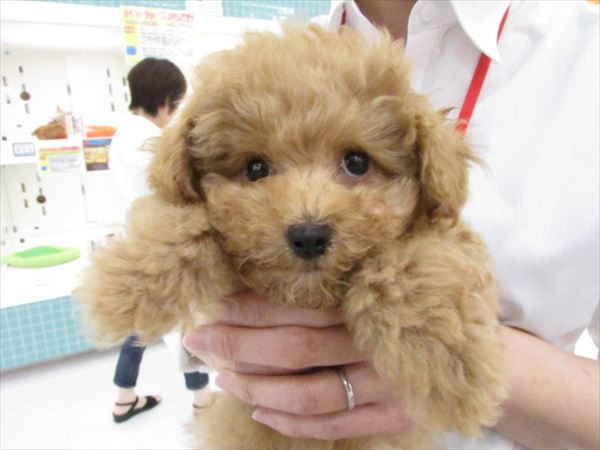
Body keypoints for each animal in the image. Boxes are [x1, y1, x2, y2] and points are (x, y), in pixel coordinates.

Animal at [76, 24, 506, 449]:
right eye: (255, 168)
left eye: (357, 162)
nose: (309, 235)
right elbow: (186, 220)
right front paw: (122, 284)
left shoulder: (446, 233)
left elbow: (409, 269)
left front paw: (452, 365)